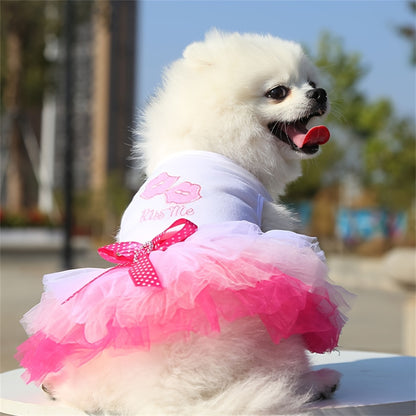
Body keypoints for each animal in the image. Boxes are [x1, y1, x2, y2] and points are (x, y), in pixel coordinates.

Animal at [22, 31, 350, 416]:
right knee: (284, 378)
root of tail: (153, 395)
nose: (320, 93)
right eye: (278, 91)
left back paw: (57, 384)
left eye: (311, 83)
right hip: (274, 338)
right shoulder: (266, 219)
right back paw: (319, 381)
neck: (214, 143)